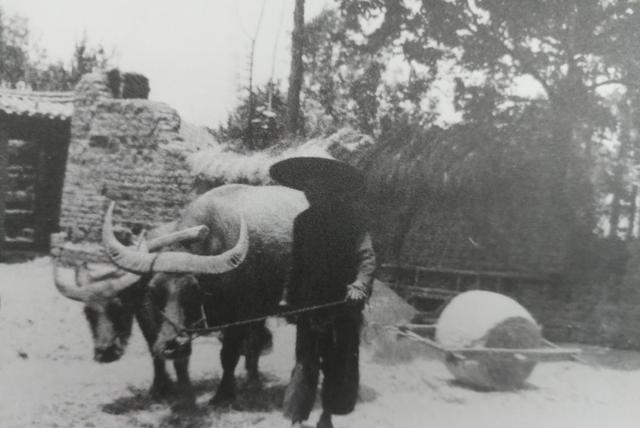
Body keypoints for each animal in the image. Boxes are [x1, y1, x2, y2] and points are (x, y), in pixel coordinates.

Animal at [53, 224, 208, 402]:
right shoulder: (145, 318)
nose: (106, 352)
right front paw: (160, 388)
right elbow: (154, 349)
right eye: (87, 313)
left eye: (119, 308)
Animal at [101, 184, 308, 408]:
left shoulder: (239, 318)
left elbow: (229, 355)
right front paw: (183, 399)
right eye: (154, 290)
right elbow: (179, 360)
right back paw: (253, 382)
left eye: (193, 291)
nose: (173, 345)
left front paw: (223, 396)